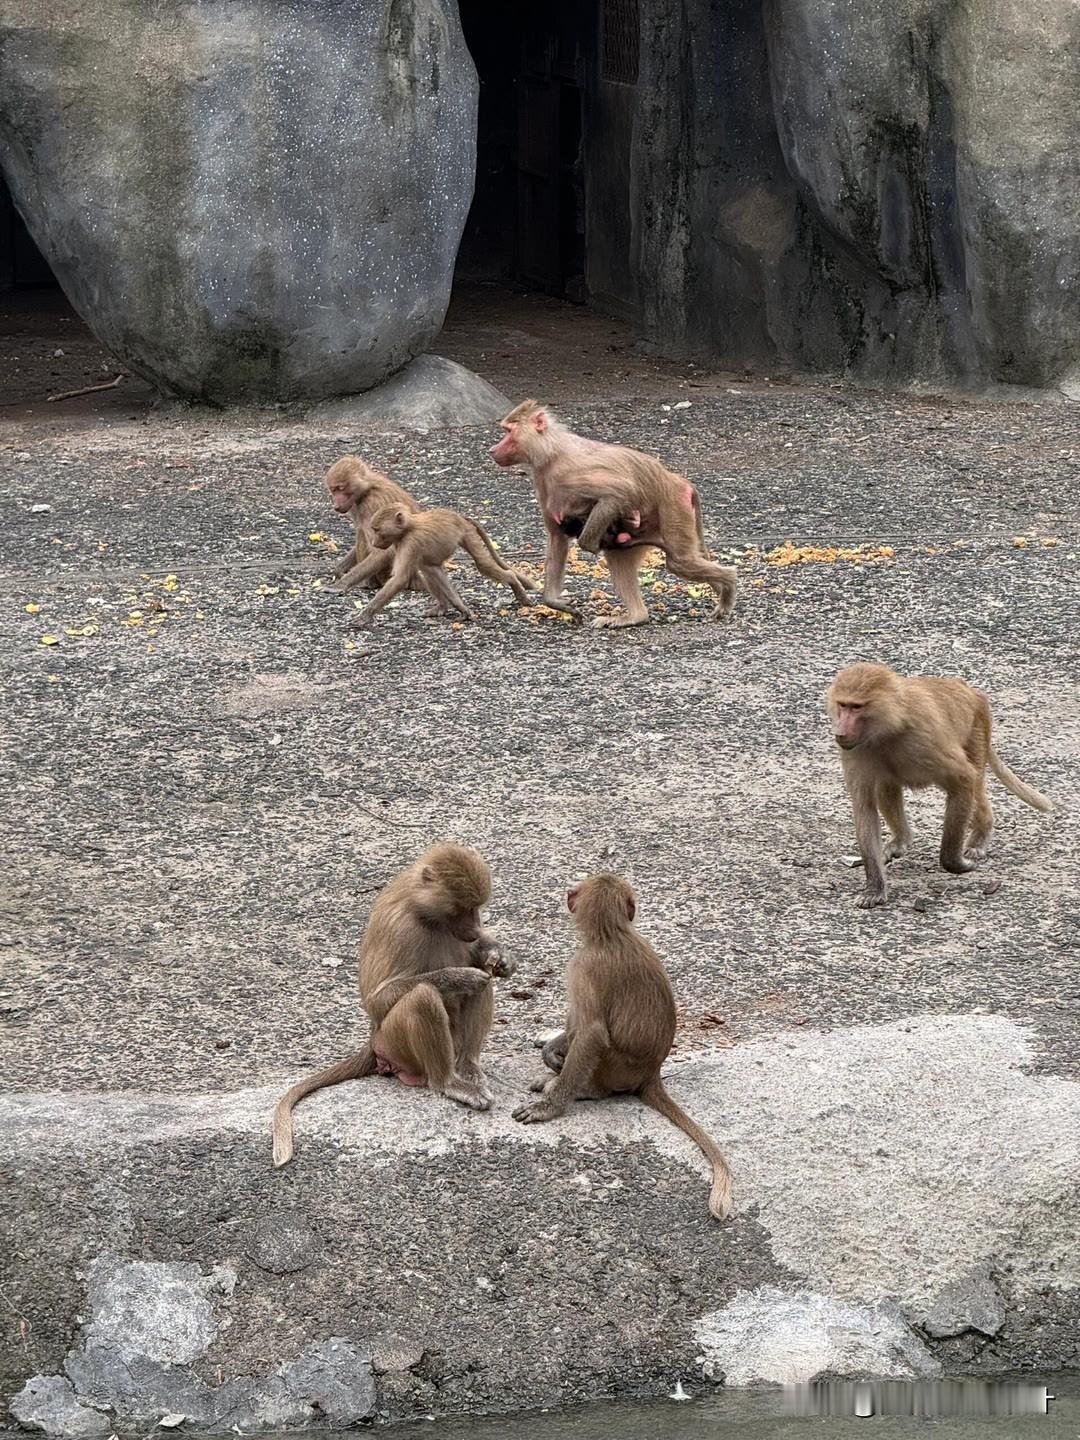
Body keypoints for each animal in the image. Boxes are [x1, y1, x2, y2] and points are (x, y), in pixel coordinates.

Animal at [271, 843, 515, 1166]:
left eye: (476, 907)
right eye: (461, 908)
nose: (475, 929)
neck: (423, 908)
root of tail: (373, 1039)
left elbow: (483, 961)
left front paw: (501, 957)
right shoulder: (403, 928)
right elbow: (378, 998)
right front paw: (460, 977)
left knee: (484, 986)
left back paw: (468, 1067)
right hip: (393, 1042)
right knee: (424, 996)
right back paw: (450, 1082)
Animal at [348, 505, 537, 628]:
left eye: (377, 530)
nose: (374, 542)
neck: (408, 528)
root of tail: (460, 517)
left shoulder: (410, 543)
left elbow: (399, 579)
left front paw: (365, 615)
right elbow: (431, 570)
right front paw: (462, 609)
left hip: (467, 533)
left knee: (482, 564)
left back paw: (515, 585)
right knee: (430, 568)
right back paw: (443, 606)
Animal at [490, 400, 736, 628]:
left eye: (509, 432)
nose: (492, 450)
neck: (550, 451)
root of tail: (679, 481)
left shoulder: (570, 471)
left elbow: (620, 493)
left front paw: (590, 541)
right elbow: (557, 537)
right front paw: (557, 603)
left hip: (673, 507)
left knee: (679, 562)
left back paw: (728, 585)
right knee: (626, 556)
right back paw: (636, 616)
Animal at [513, 873, 734, 1220]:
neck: (611, 934)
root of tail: (651, 1073)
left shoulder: (582, 966)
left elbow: (591, 1033)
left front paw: (550, 1107)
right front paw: (551, 1051)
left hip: (615, 1070)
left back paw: (583, 1089)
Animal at [826, 662, 1055, 908]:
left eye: (856, 707)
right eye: (842, 705)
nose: (840, 732)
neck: (891, 724)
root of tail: (971, 692)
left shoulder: (925, 739)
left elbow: (964, 779)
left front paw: (954, 863)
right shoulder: (857, 749)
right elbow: (865, 808)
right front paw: (874, 888)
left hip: (976, 730)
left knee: (975, 783)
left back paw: (980, 835)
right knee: (886, 784)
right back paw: (901, 839)